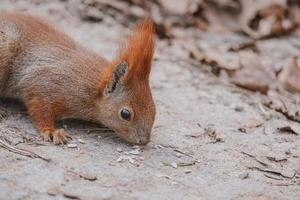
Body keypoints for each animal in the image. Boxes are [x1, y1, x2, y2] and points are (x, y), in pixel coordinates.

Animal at [0, 12, 156, 144]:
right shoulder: (45, 84)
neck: (94, 92)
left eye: (154, 109)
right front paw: (51, 131)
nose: (144, 141)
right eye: (125, 114)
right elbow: (40, 109)